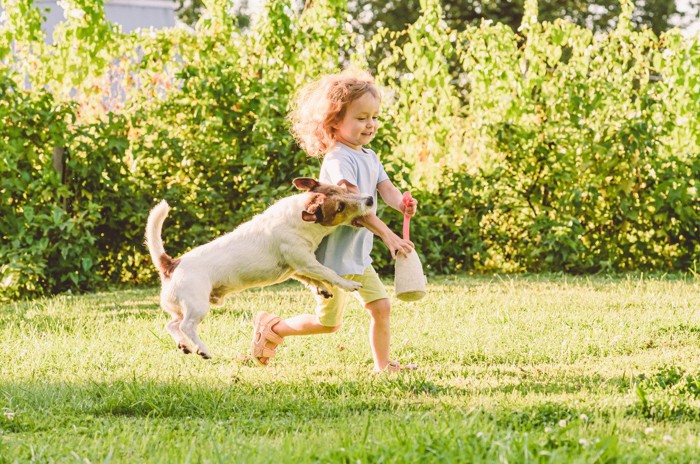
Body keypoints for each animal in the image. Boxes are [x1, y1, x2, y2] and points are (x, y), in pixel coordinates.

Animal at [146, 178, 374, 358]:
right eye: (340, 207)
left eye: (342, 189)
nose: (370, 199)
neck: (298, 218)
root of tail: (171, 264)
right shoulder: (304, 260)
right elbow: (328, 273)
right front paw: (347, 283)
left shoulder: (296, 267)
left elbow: (311, 278)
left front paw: (322, 288)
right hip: (197, 305)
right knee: (186, 325)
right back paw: (201, 349)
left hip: (180, 306)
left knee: (172, 324)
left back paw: (184, 344)